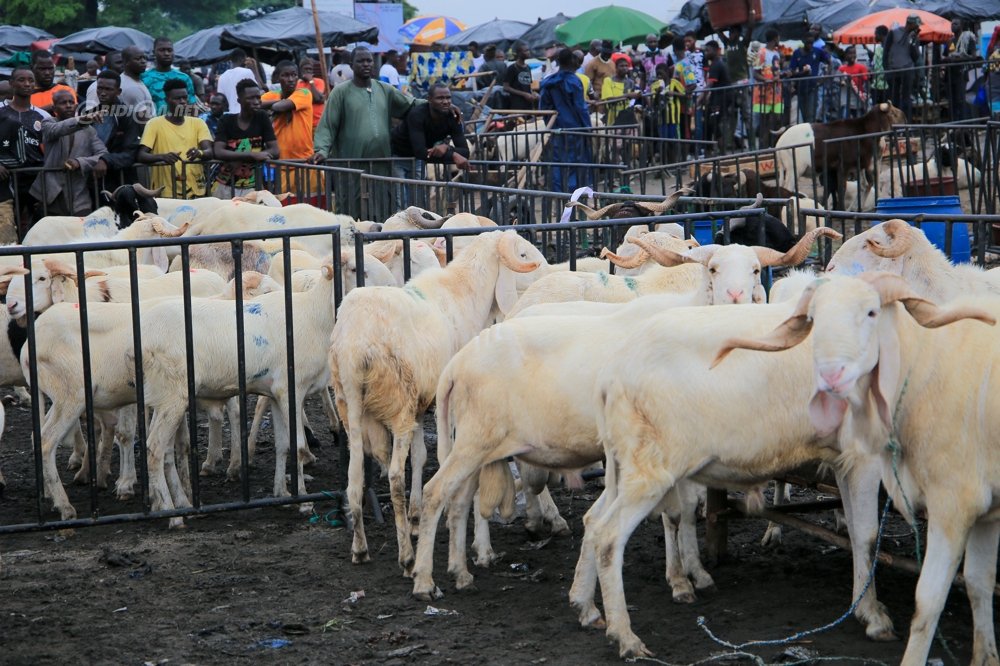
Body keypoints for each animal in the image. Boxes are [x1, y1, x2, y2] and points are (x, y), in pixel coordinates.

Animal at [328, 228, 544, 572]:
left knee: (355, 475)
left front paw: (418, 518)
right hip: (397, 401)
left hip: (352, 405)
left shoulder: (421, 402)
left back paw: (360, 548)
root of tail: (355, 344)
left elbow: (420, 457)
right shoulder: (450, 404)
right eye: (523, 255)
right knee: (393, 477)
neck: (465, 293)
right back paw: (405, 555)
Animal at [716, 270, 996, 664]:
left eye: (871, 312)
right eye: (813, 319)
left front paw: (865, 607)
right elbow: (866, 537)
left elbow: (861, 534)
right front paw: (872, 613)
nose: (830, 377)